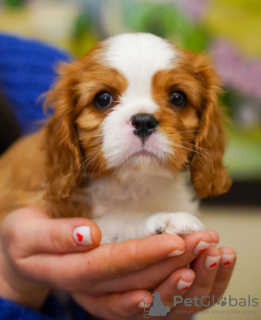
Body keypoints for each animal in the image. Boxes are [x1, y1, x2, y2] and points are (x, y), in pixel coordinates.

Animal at [0, 33, 230, 242]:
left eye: (177, 98)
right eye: (103, 99)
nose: (144, 121)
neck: (134, 182)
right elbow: (116, 220)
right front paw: (162, 218)